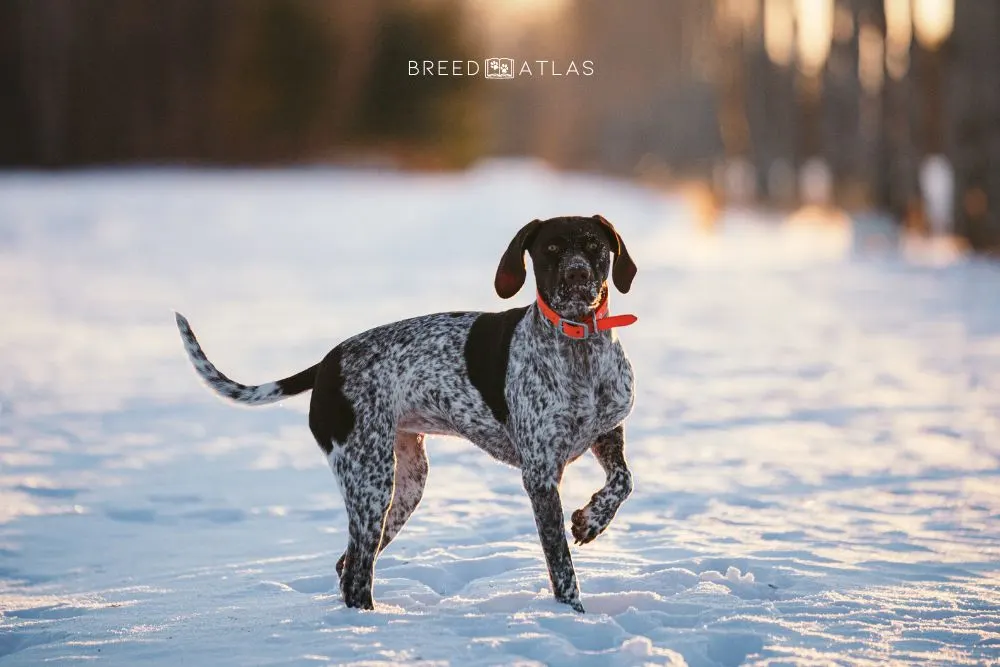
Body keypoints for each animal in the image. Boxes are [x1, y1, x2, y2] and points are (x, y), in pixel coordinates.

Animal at [175, 215, 636, 616]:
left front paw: (592, 520)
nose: (577, 275)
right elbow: (561, 565)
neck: (580, 347)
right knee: (356, 574)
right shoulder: (539, 474)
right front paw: (572, 614)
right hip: (370, 482)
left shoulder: (607, 431)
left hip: (404, 484)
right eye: (551, 249)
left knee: (348, 565)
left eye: (593, 247)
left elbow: (624, 481)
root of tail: (326, 364)